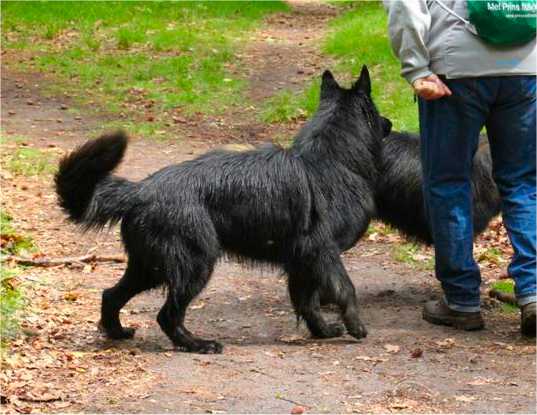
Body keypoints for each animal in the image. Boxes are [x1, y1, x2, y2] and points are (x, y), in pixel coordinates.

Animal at [55, 66, 391, 354]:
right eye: (377, 113)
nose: (390, 124)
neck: (331, 160)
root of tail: (141, 190)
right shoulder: (322, 251)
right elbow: (345, 288)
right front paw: (355, 326)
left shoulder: (302, 261)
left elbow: (307, 303)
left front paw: (322, 331)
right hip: (194, 265)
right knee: (167, 315)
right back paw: (197, 344)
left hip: (148, 268)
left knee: (111, 296)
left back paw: (118, 332)